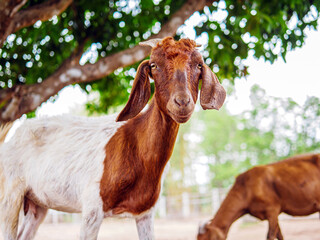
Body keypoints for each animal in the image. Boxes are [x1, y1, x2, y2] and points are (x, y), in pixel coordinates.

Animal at [0, 37, 226, 240]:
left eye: (199, 64)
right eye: (153, 65)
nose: (182, 102)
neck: (137, 150)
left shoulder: (145, 213)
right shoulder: (92, 210)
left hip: (37, 203)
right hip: (9, 194)